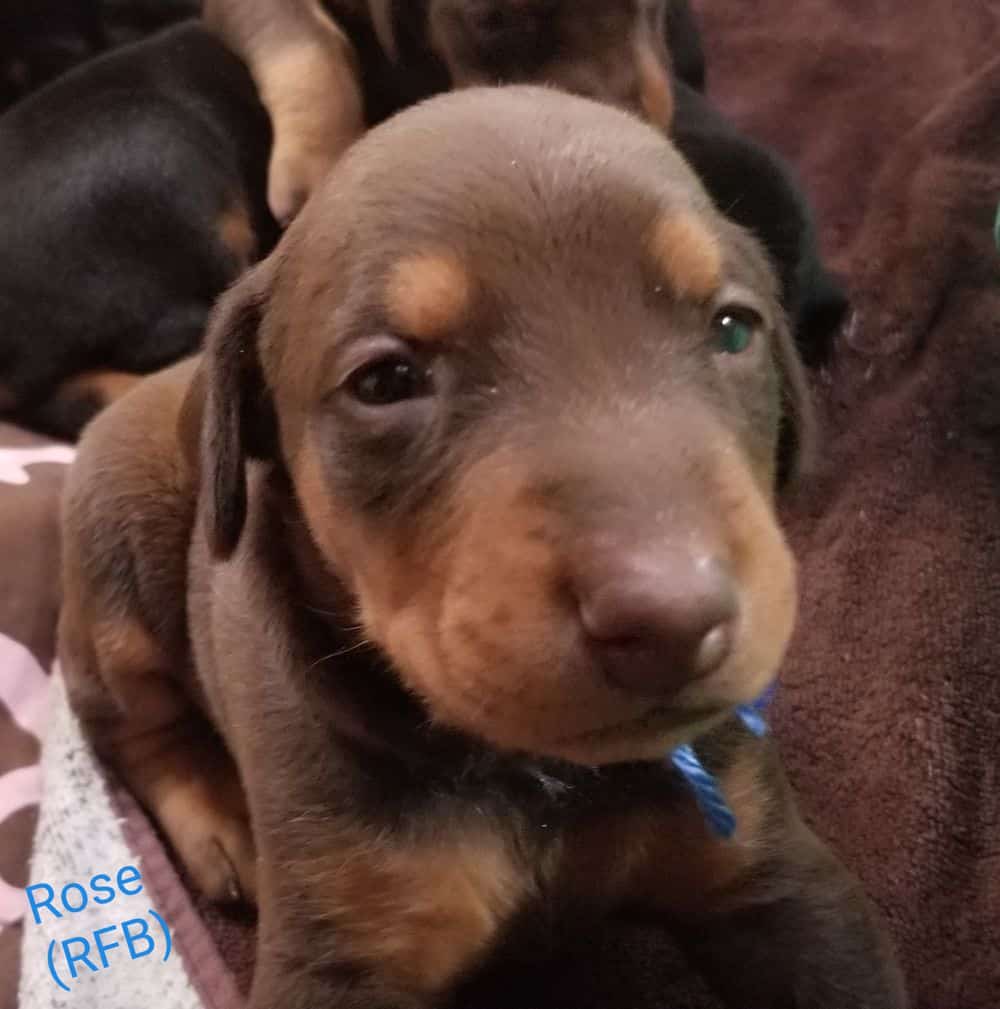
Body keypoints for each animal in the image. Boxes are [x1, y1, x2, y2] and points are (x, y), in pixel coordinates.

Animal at [60, 88, 908, 1008]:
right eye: (385, 381)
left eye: (733, 328)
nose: (674, 619)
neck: (545, 778)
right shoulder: (340, 949)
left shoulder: (769, 871)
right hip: (116, 553)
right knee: (123, 718)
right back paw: (215, 818)